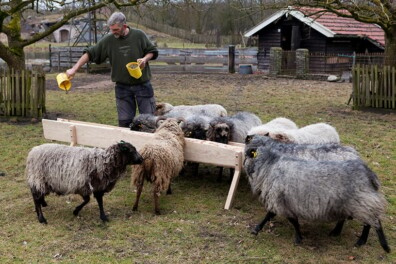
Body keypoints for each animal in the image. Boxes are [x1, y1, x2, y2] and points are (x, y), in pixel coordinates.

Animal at [243, 145, 392, 253]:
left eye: (246, 156)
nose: (243, 164)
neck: (269, 165)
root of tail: (368, 172)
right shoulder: (286, 201)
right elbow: (280, 217)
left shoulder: (279, 199)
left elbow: (282, 218)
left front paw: (297, 238)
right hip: (349, 203)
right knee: (357, 219)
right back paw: (337, 232)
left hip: (362, 202)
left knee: (372, 222)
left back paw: (373, 243)